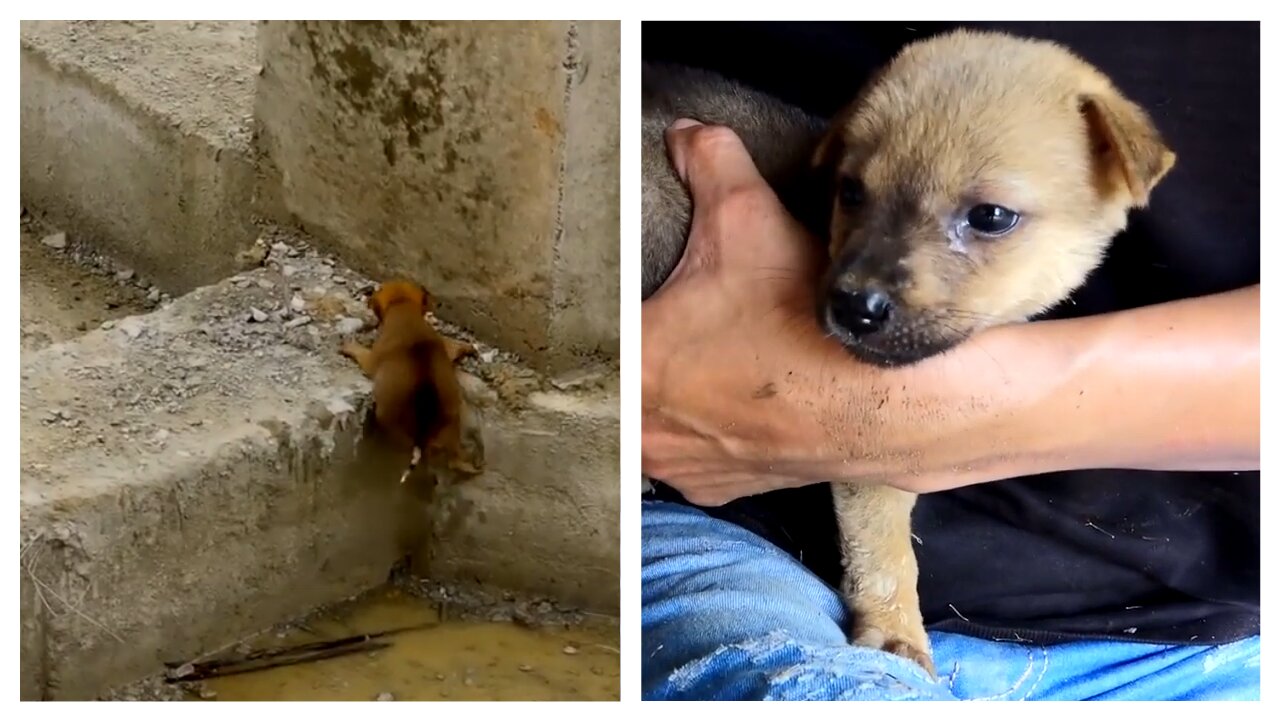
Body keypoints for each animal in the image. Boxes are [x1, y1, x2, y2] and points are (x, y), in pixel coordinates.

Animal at [340, 278, 481, 479]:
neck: (403, 307)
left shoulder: (370, 361)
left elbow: (361, 353)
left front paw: (348, 345)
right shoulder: (444, 347)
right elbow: (453, 347)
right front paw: (466, 347)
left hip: (392, 426)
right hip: (451, 429)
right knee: (454, 459)